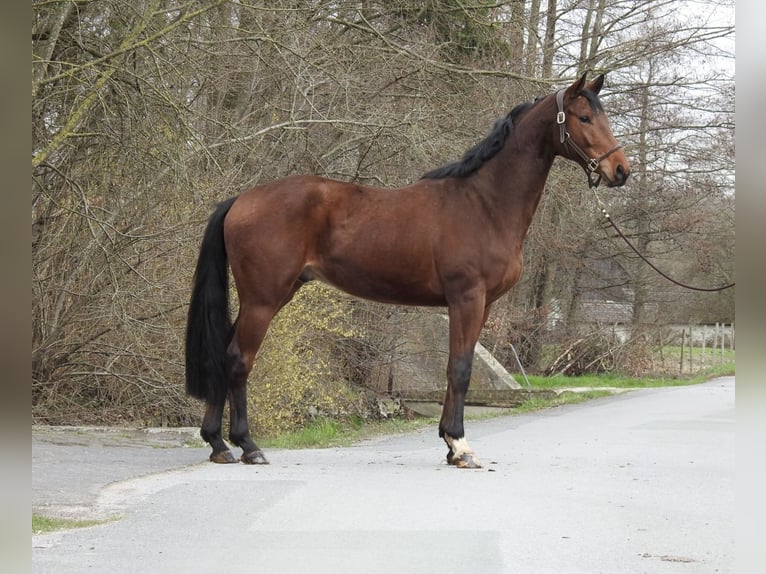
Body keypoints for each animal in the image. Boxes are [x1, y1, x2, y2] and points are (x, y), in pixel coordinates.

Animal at [185, 72, 630, 468]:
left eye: (604, 116)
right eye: (584, 118)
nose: (621, 171)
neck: (484, 203)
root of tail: (242, 199)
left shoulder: (480, 305)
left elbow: (455, 368)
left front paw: (449, 445)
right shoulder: (467, 299)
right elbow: (461, 369)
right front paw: (460, 445)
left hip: (269, 295)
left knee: (223, 354)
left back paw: (218, 444)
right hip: (264, 298)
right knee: (239, 359)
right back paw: (248, 446)